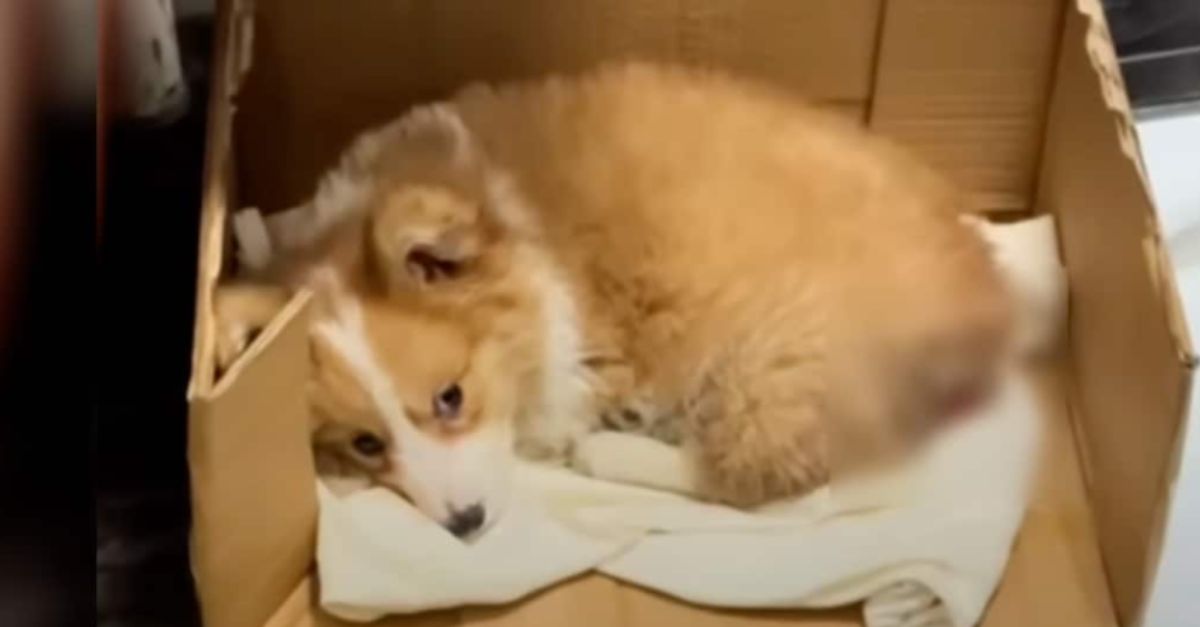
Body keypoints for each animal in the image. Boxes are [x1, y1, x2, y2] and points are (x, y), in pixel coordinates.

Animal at [213, 60, 1012, 533]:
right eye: (364, 443)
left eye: (450, 396)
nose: (467, 524)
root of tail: (992, 304)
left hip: (782, 361)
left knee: (747, 476)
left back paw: (612, 452)